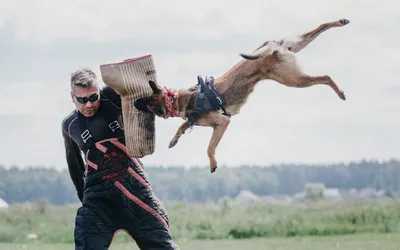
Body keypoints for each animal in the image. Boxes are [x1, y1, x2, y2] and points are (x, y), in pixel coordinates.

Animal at [134, 18, 350, 174]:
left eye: (149, 104)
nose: (135, 102)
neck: (179, 99)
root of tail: (273, 46)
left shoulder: (222, 123)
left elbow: (209, 147)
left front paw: (212, 163)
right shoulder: (195, 121)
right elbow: (182, 126)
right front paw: (174, 140)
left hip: (293, 79)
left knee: (325, 77)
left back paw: (340, 92)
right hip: (295, 48)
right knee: (319, 28)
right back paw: (340, 21)